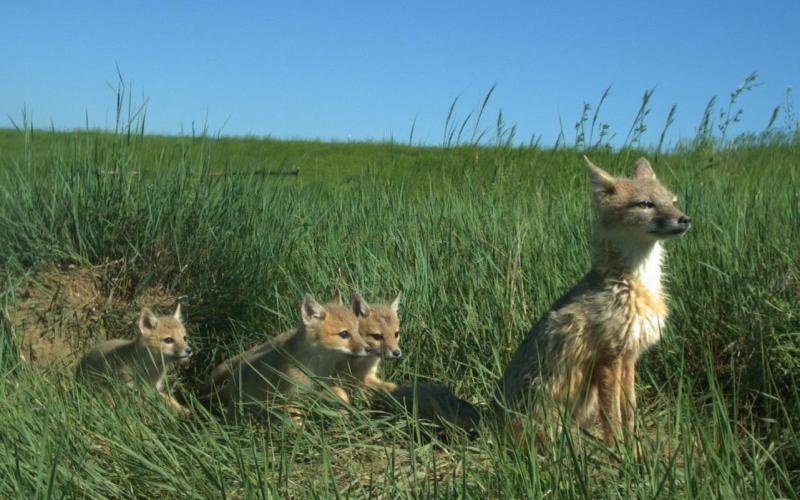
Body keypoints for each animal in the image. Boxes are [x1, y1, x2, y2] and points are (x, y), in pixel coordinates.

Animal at [209, 293, 373, 413]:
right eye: (344, 334)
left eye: (358, 331)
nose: (369, 349)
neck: (314, 366)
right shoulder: (289, 397)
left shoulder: (317, 389)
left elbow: (340, 392)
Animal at [496, 156, 692, 447]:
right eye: (645, 204)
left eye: (673, 201)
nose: (685, 219)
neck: (635, 284)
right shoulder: (608, 360)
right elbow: (613, 419)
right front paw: (618, 453)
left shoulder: (629, 359)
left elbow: (629, 414)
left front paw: (636, 451)